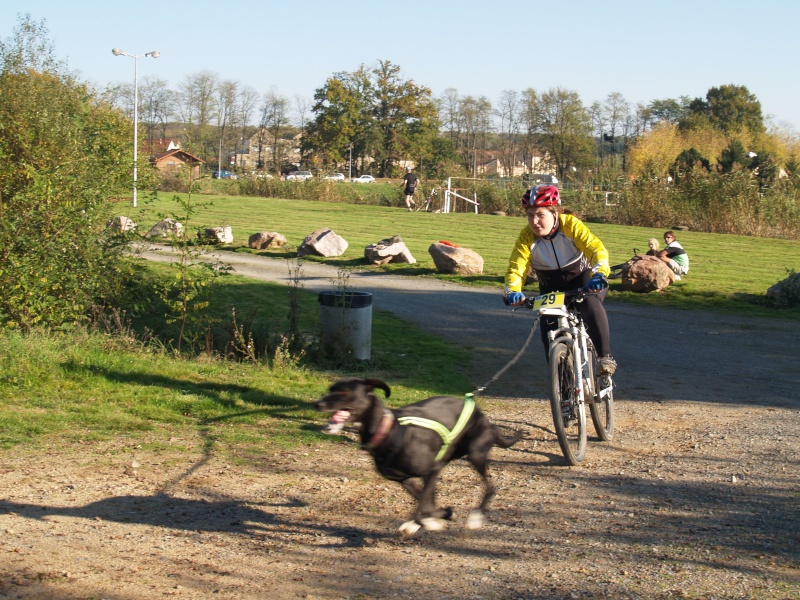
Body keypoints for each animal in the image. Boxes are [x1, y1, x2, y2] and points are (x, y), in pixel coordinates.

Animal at [316, 378, 520, 536]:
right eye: (331, 389)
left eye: (344, 391)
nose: (317, 404)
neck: (389, 431)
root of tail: (482, 416)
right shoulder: (405, 479)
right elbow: (426, 502)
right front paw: (439, 517)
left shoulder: (431, 470)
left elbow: (423, 507)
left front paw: (435, 518)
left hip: (476, 454)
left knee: (490, 487)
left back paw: (476, 517)